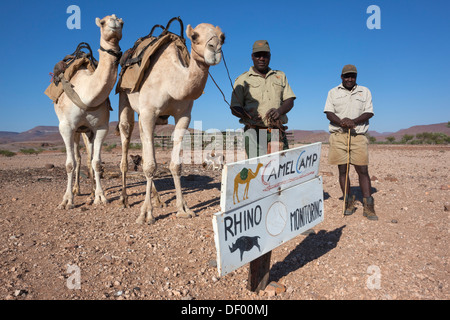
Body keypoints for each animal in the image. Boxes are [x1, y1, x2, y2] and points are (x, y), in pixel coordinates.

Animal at [53, 15, 124, 209]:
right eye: (103, 22)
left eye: (122, 23)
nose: (114, 24)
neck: (86, 94)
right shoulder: (67, 127)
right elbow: (70, 163)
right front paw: (67, 200)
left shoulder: (101, 127)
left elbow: (97, 162)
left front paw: (100, 196)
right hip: (76, 131)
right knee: (77, 158)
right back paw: (76, 190)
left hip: (86, 131)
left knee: (88, 157)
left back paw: (91, 192)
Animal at [118, 22, 227, 225]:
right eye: (194, 36)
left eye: (223, 37)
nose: (215, 49)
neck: (171, 81)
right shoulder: (149, 112)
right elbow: (151, 166)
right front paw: (146, 214)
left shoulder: (184, 115)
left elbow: (175, 165)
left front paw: (183, 209)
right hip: (124, 96)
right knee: (126, 133)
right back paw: (124, 199)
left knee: (144, 141)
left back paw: (158, 199)